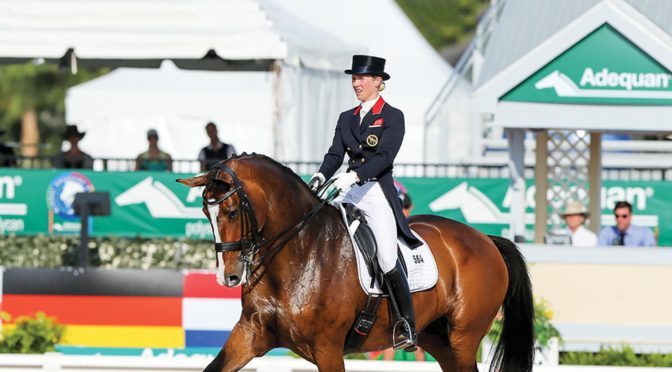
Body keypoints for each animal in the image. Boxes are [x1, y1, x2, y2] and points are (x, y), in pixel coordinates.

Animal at [176, 153, 532, 372]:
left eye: (232, 212)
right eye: (206, 213)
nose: (228, 276)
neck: (298, 253)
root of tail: (485, 238)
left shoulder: (328, 348)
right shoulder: (249, 334)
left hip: (463, 338)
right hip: (440, 340)